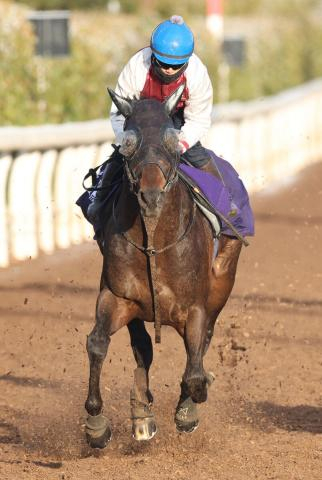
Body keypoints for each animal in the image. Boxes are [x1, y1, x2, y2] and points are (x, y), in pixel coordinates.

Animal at [84, 84, 243, 448]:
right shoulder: (117, 296)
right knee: (142, 347)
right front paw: (98, 424)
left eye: (173, 140)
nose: (151, 193)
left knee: (203, 342)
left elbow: (195, 370)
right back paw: (142, 410)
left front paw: (188, 409)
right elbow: (98, 343)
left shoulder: (195, 307)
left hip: (223, 280)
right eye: (129, 142)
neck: (155, 240)